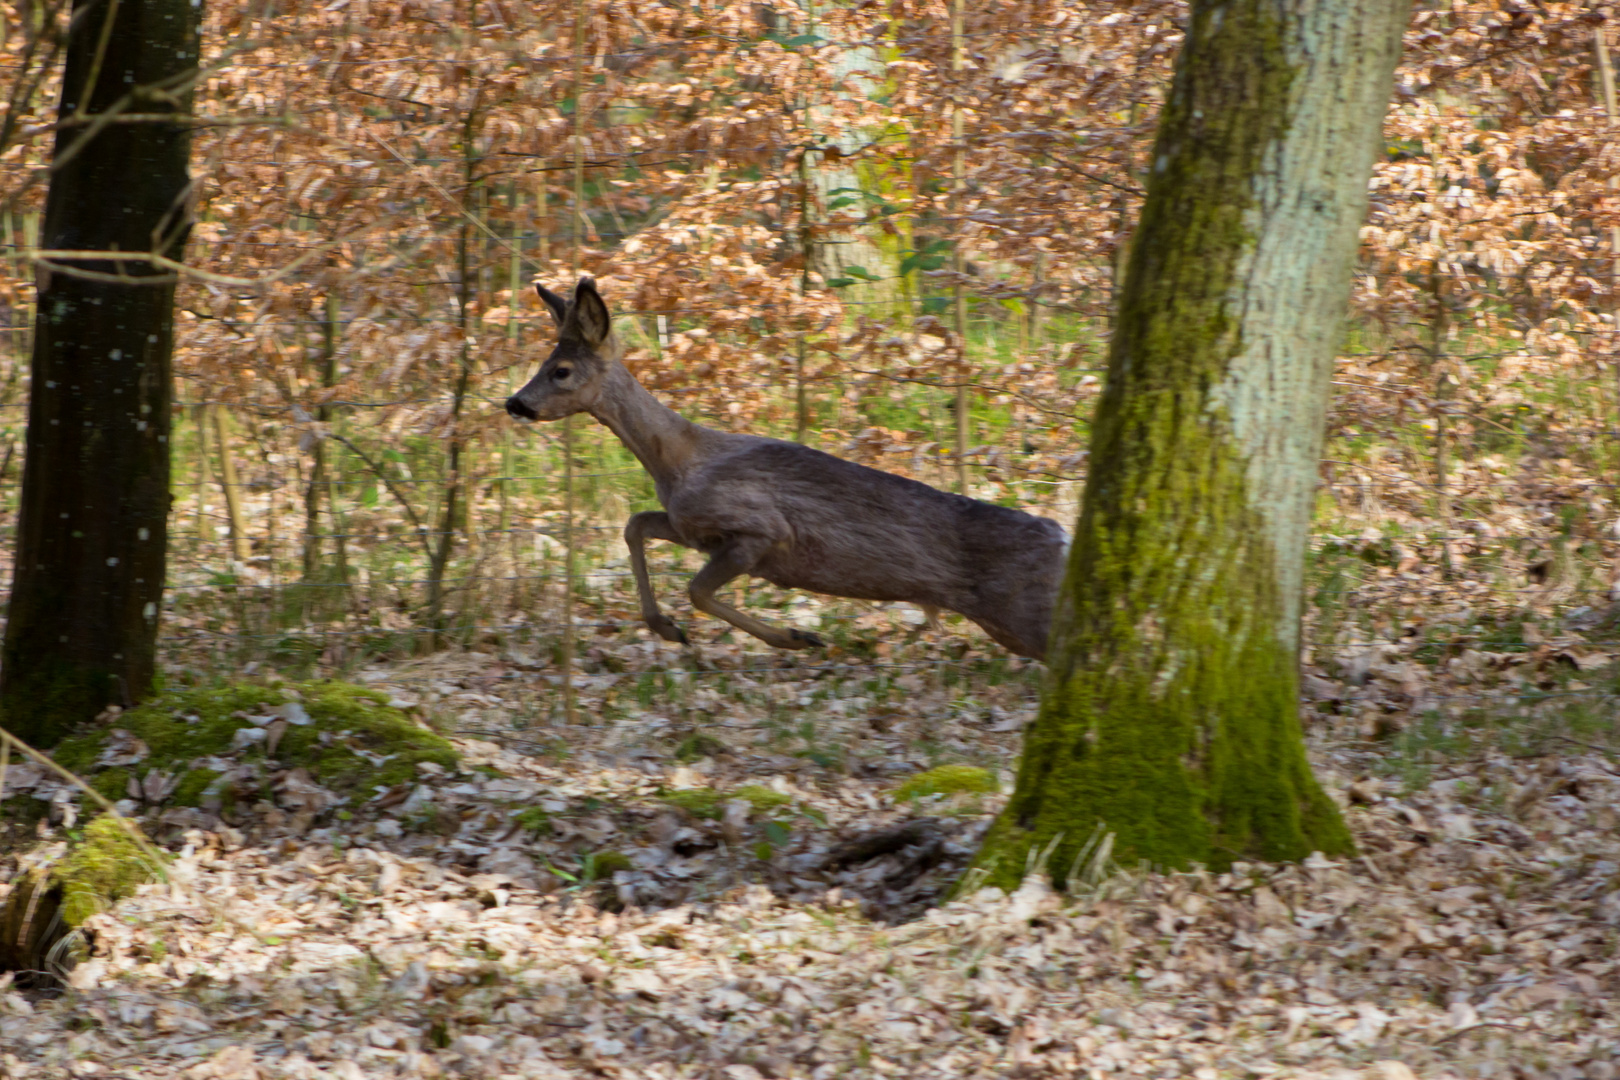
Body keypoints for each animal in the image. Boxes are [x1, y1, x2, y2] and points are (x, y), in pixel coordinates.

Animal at [498, 278, 1069, 660]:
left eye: (560, 370)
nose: (515, 403)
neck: (679, 461)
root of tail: (1062, 535)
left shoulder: (760, 530)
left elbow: (698, 590)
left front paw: (797, 636)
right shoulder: (694, 527)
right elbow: (635, 524)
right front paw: (664, 627)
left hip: (1023, 614)